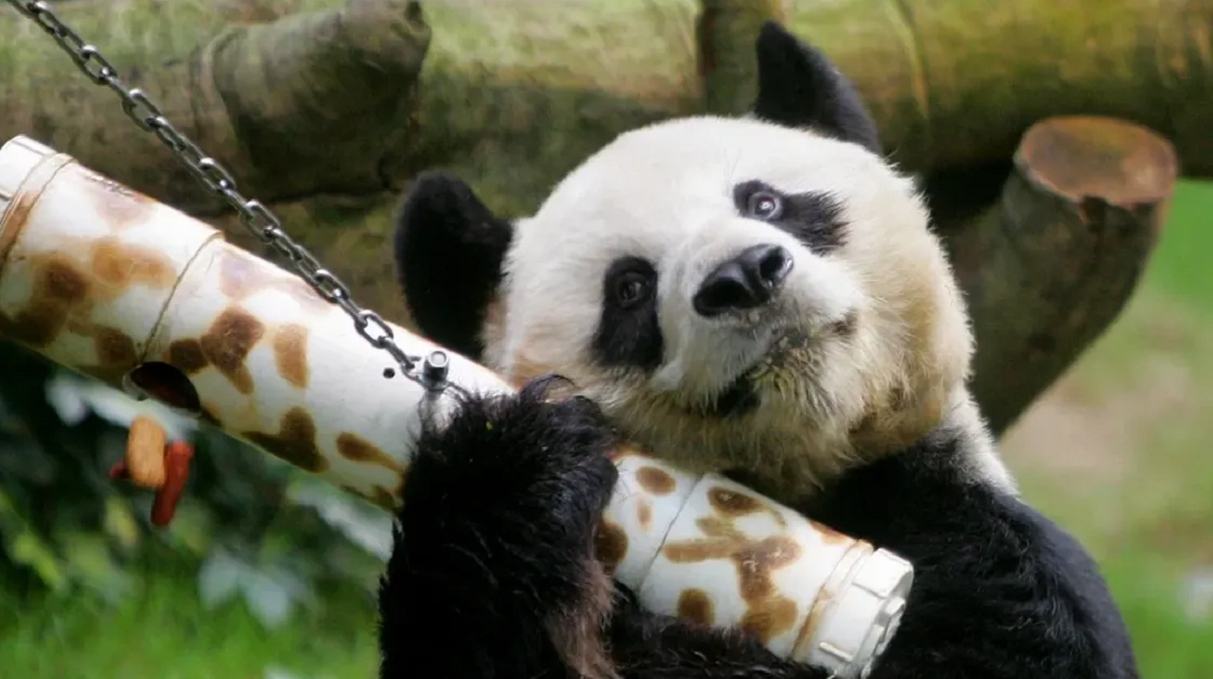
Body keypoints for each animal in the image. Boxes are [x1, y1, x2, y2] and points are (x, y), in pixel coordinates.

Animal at [377, 21, 1139, 679]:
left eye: (764, 202)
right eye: (629, 288)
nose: (743, 275)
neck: (807, 485)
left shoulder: (974, 541)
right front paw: (514, 469)